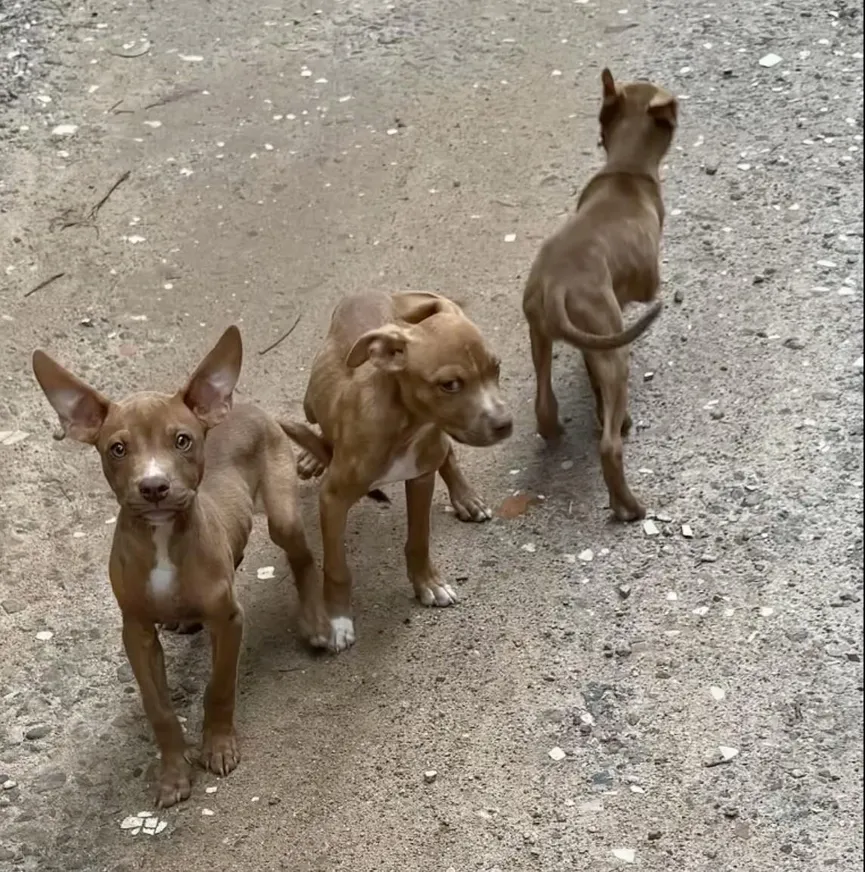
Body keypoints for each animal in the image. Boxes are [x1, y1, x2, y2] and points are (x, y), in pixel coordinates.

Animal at [31, 328, 328, 812]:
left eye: (183, 440)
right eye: (117, 448)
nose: (154, 487)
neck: (162, 540)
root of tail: (244, 405)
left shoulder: (229, 620)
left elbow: (219, 687)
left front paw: (218, 746)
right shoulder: (136, 633)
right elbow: (160, 710)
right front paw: (172, 774)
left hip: (283, 515)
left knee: (301, 559)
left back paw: (318, 622)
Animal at [284, 290, 510, 652]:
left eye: (497, 367)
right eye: (449, 384)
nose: (505, 425)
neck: (409, 426)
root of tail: (368, 292)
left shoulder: (421, 478)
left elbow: (419, 539)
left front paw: (428, 584)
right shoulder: (333, 499)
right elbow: (336, 568)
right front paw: (337, 620)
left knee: (447, 454)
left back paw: (466, 497)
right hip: (309, 402)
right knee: (317, 420)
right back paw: (312, 456)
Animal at [524, 68, 680, 520]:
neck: (625, 169)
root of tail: (554, 285)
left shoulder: (592, 339)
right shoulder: (643, 288)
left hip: (541, 336)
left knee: (544, 407)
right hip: (615, 352)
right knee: (609, 446)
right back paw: (630, 506)